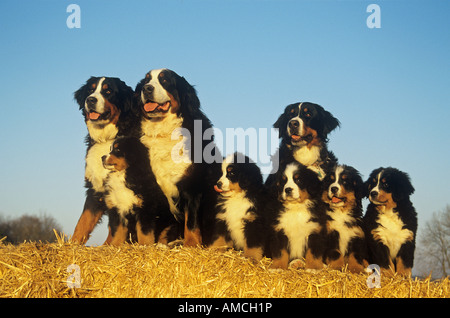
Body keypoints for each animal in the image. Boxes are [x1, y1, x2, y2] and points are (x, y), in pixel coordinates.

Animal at [71, 76, 138, 243]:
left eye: (108, 91)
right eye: (90, 89)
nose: (90, 100)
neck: (106, 138)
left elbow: (114, 229)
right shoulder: (95, 189)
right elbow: (82, 223)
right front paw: (70, 244)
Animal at [134, 67, 221, 246]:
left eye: (165, 80)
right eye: (146, 80)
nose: (147, 89)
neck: (164, 131)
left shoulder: (192, 187)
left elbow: (191, 222)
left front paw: (192, 245)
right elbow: (145, 228)